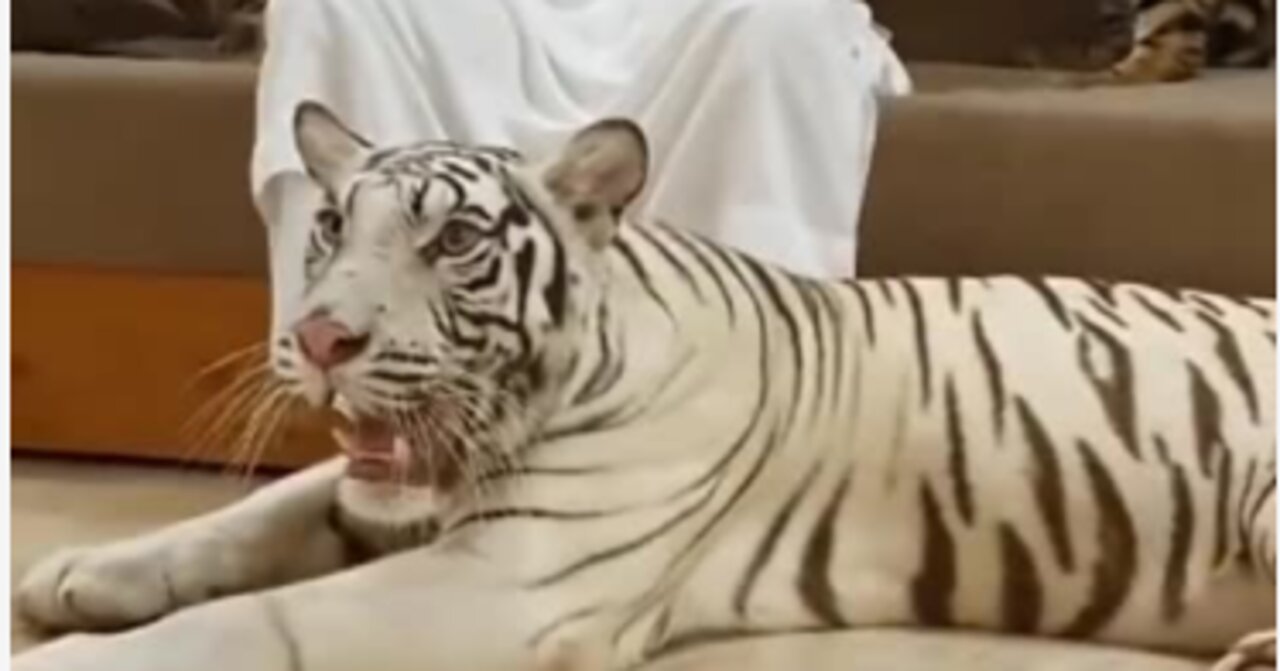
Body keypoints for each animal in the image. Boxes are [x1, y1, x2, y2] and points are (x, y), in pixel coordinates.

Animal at [12, 101, 1280, 671]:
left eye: (453, 241)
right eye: (330, 226)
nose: (317, 337)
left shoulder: (502, 577)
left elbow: (247, 620)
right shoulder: (397, 503)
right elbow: (246, 518)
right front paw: (82, 573)